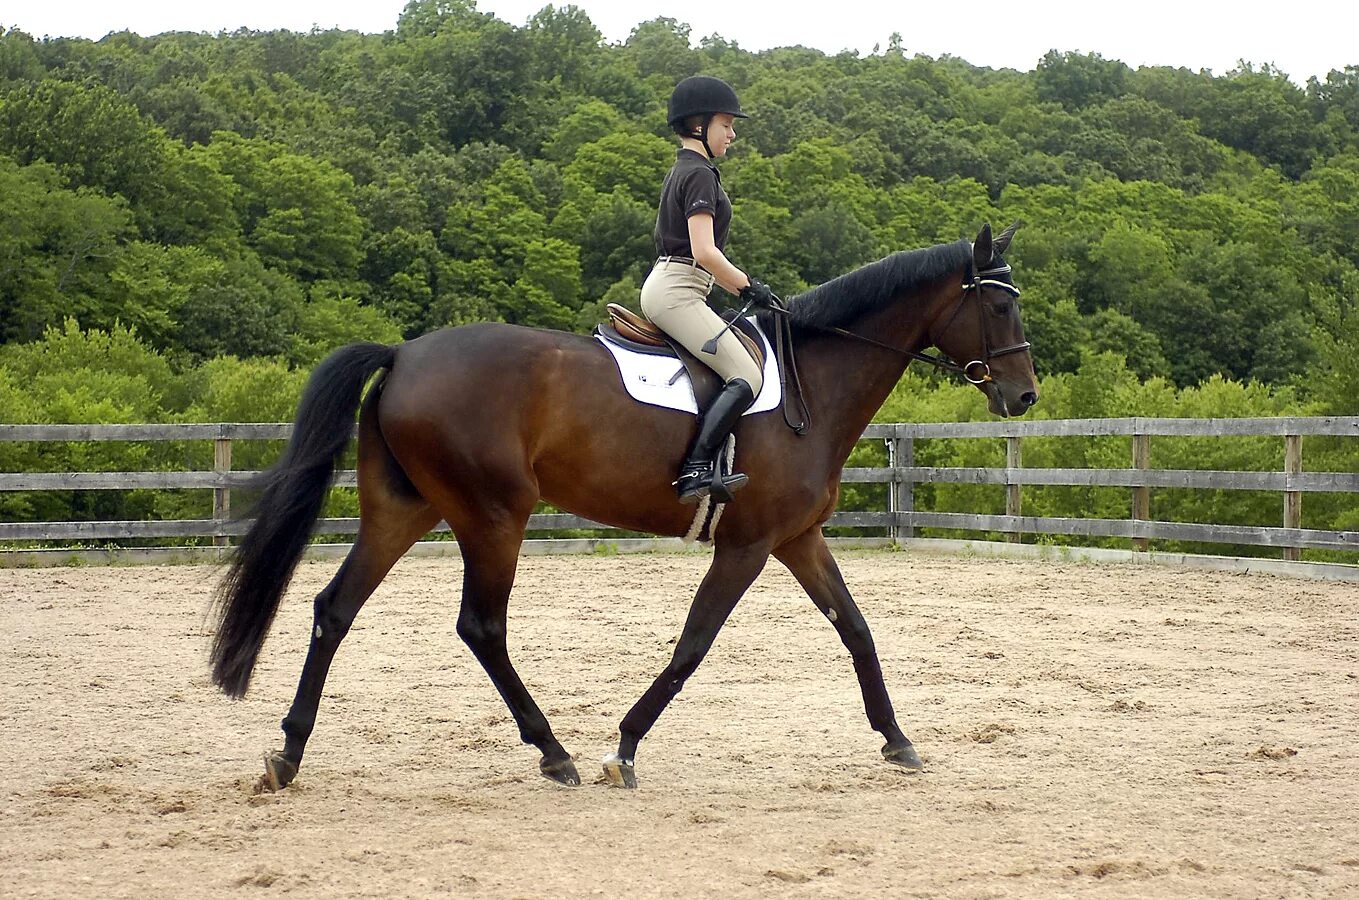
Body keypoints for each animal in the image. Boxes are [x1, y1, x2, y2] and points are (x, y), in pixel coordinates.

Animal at [209, 224, 1038, 788]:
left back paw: (288, 752)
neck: (815, 383)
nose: (1023, 396)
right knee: (480, 626)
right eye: (998, 308)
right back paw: (555, 753)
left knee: (334, 608)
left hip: (405, 511)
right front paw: (624, 747)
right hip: (493, 515)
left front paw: (897, 739)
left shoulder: (796, 537)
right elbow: (693, 644)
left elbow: (856, 629)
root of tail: (404, 353)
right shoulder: (747, 545)